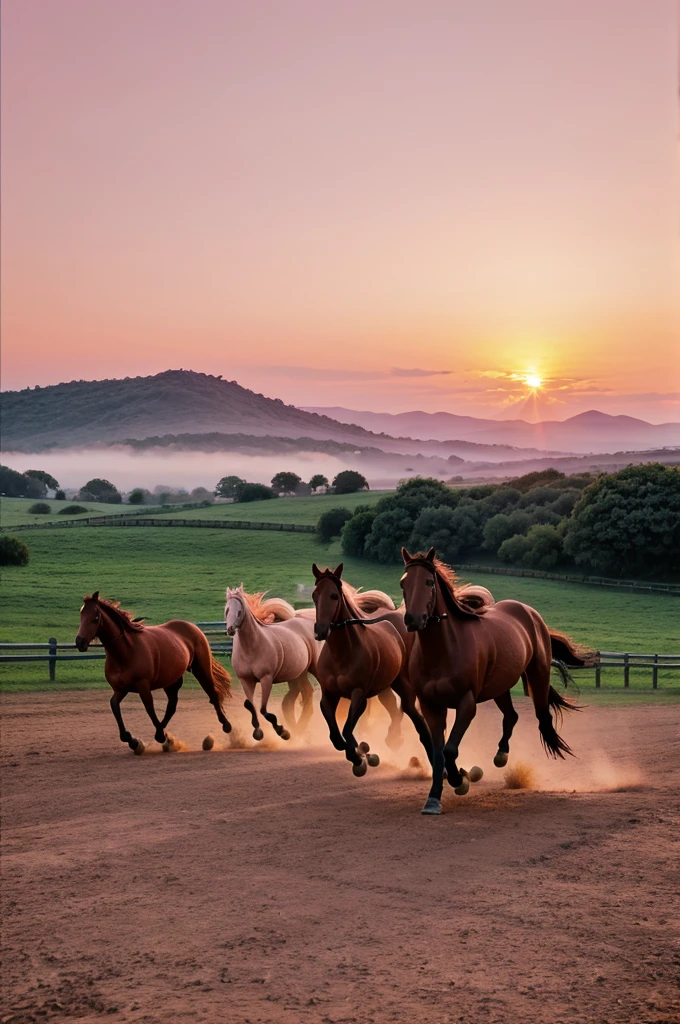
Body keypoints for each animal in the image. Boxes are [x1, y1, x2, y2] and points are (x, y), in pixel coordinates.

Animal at [75, 593, 232, 753]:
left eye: (95, 617)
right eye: (81, 614)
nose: (80, 642)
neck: (125, 651)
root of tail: (192, 627)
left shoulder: (143, 685)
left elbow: (149, 707)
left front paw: (158, 736)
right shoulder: (120, 690)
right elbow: (114, 706)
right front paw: (132, 740)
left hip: (201, 669)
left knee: (213, 694)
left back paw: (226, 725)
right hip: (171, 680)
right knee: (172, 705)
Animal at [311, 561, 430, 774]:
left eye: (334, 595)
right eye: (314, 595)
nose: (321, 630)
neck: (342, 653)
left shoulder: (359, 694)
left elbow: (347, 729)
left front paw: (358, 756)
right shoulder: (329, 694)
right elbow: (336, 735)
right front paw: (358, 751)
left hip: (403, 684)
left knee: (413, 715)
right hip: (386, 686)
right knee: (395, 708)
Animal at [399, 548, 593, 811]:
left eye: (429, 582)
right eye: (403, 583)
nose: (413, 620)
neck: (443, 651)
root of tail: (527, 611)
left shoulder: (466, 704)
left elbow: (450, 750)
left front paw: (460, 780)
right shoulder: (431, 705)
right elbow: (439, 753)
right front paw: (434, 798)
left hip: (537, 675)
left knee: (543, 716)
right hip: (500, 687)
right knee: (512, 716)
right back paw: (501, 755)